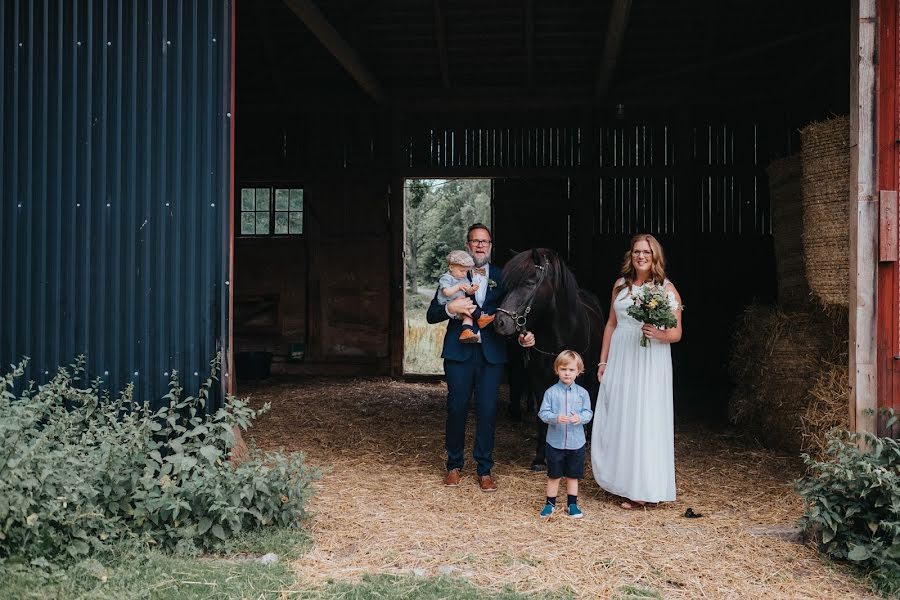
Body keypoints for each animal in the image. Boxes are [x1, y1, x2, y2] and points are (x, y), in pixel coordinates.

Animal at [492, 247, 604, 468]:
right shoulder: (538, 380)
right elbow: (542, 418)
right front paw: (539, 458)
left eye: (529, 283)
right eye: (508, 285)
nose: (499, 322)